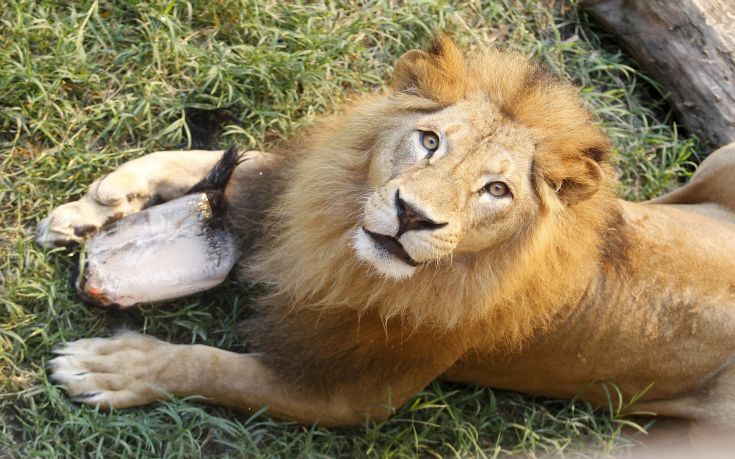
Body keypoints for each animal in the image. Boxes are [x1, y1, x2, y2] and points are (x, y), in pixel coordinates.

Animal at [37, 35, 735, 434]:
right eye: (429, 141)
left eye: (496, 190)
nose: (412, 215)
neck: (343, 247)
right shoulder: (300, 196)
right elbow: (234, 163)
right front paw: (102, 199)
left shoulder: (355, 399)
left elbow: (215, 368)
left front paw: (116, 366)